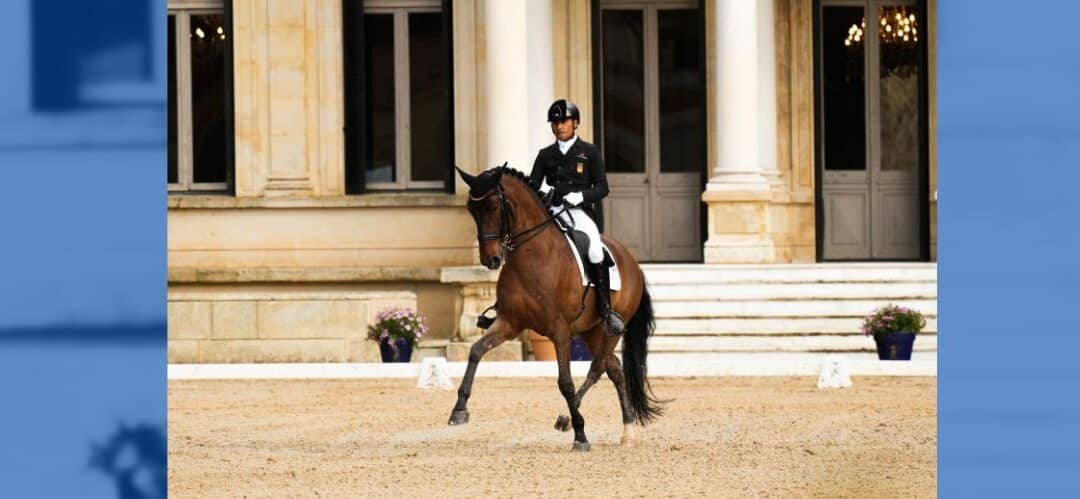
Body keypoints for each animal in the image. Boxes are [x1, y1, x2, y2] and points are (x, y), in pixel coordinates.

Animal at [444, 164, 660, 451]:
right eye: (471, 209)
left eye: (493, 206)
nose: (491, 259)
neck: (532, 255)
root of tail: (632, 262)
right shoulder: (509, 323)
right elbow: (476, 351)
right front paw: (459, 409)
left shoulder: (559, 330)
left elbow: (565, 382)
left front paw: (581, 436)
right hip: (591, 330)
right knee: (613, 368)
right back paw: (622, 430)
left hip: (610, 329)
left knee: (599, 366)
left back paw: (576, 420)